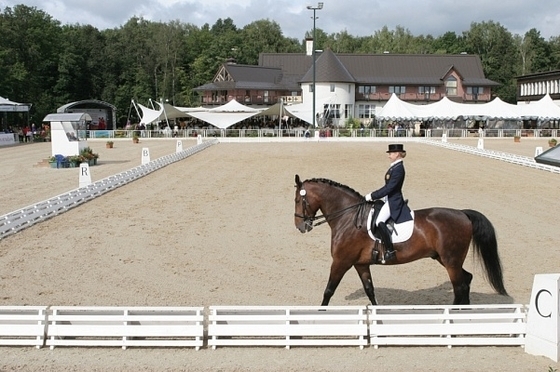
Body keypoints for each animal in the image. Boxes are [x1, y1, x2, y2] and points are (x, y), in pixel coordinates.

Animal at [296, 174, 510, 306]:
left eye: (298, 200)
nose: (300, 227)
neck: (348, 218)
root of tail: (463, 214)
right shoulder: (360, 264)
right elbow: (370, 290)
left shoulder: (341, 262)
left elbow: (328, 290)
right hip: (445, 259)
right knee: (466, 279)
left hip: (451, 261)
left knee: (460, 286)